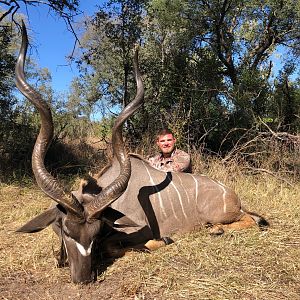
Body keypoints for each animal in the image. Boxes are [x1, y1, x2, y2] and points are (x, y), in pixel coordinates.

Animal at [15, 22, 268, 284]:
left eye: (95, 232)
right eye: (66, 230)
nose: (83, 278)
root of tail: (232, 195)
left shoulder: (137, 230)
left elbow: (116, 246)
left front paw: (162, 240)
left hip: (224, 215)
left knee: (251, 221)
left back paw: (216, 230)